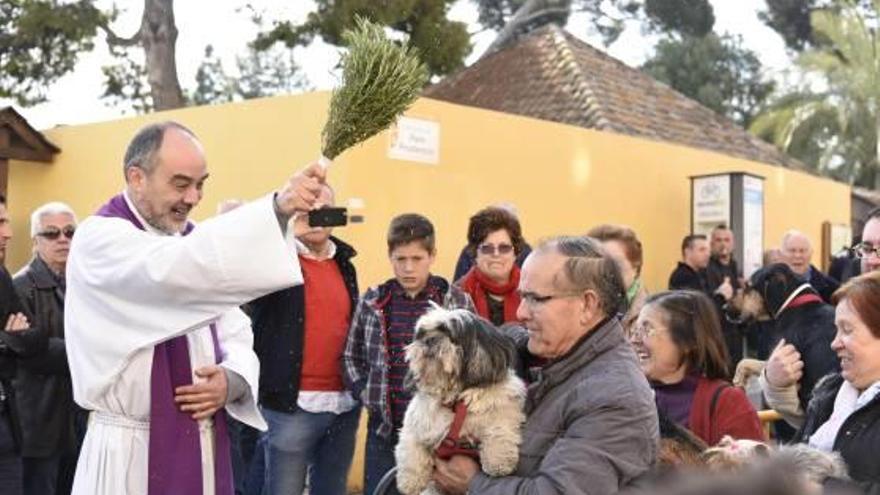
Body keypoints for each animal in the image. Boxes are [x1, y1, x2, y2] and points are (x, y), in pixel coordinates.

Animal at [396, 308, 524, 494]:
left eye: (450, 333)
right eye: (422, 334)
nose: (430, 339)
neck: (454, 402)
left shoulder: (501, 406)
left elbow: (499, 427)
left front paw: (498, 462)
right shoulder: (416, 423)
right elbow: (411, 450)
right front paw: (410, 481)